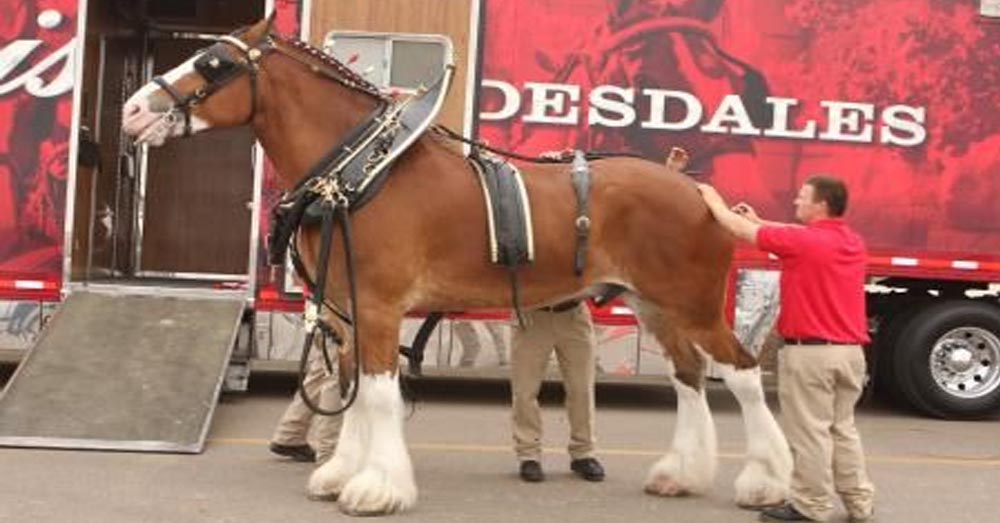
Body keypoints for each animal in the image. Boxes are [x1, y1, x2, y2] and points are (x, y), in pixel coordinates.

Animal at [121, 16, 788, 520]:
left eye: (214, 63)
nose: (132, 110)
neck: (361, 173)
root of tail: (692, 187)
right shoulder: (349, 311)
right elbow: (353, 392)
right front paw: (341, 474)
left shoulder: (381, 308)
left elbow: (378, 395)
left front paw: (377, 487)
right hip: (656, 306)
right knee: (688, 378)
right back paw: (682, 474)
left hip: (693, 304)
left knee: (742, 375)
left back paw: (765, 481)